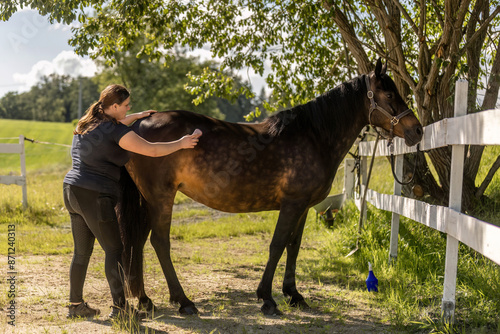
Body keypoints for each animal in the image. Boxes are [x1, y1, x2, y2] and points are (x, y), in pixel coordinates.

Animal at [116, 58, 422, 318]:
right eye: (389, 95)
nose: (417, 131)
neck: (314, 137)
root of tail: (139, 125)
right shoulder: (292, 204)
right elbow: (277, 245)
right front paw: (267, 299)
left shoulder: (303, 207)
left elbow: (293, 246)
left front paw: (294, 295)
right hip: (161, 197)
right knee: (159, 242)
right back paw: (183, 301)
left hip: (148, 199)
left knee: (139, 242)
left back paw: (145, 300)